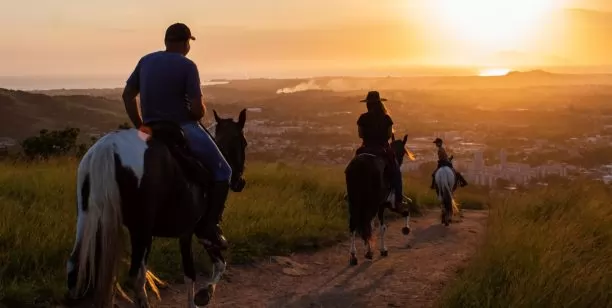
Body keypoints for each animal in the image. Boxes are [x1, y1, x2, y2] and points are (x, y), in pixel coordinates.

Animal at [65, 109, 247, 306]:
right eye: (244, 143)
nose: (240, 182)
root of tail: (108, 147)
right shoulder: (192, 231)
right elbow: (196, 272)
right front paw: (202, 295)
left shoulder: (191, 231)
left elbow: (215, 265)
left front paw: (204, 294)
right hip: (141, 230)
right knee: (136, 277)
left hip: (88, 219)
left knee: (74, 271)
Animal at [344, 134, 412, 266]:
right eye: (403, 152)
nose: (400, 162)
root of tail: (361, 165)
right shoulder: (386, 204)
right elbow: (384, 226)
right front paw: (383, 249)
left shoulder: (381, 205)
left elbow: (374, 226)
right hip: (372, 203)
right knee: (366, 223)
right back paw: (367, 253)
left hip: (354, 203)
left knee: (355, 225)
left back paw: (354, 256)